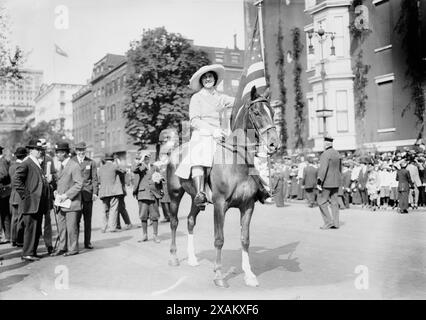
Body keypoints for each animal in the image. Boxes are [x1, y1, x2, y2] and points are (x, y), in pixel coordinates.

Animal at [166, 87, 280, 288]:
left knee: (190, 221)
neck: (237, 162)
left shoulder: (247, 206)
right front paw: (219, 275)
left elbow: (245, 239)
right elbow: (219, 239)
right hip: (174, 195)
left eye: (273, 112)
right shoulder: (220, 205)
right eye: (256, 112)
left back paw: (192, 258)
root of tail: (174, 152)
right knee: (174, 222)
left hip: (196, 199)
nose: (274, 144)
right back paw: (174, 257)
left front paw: (249, 275)